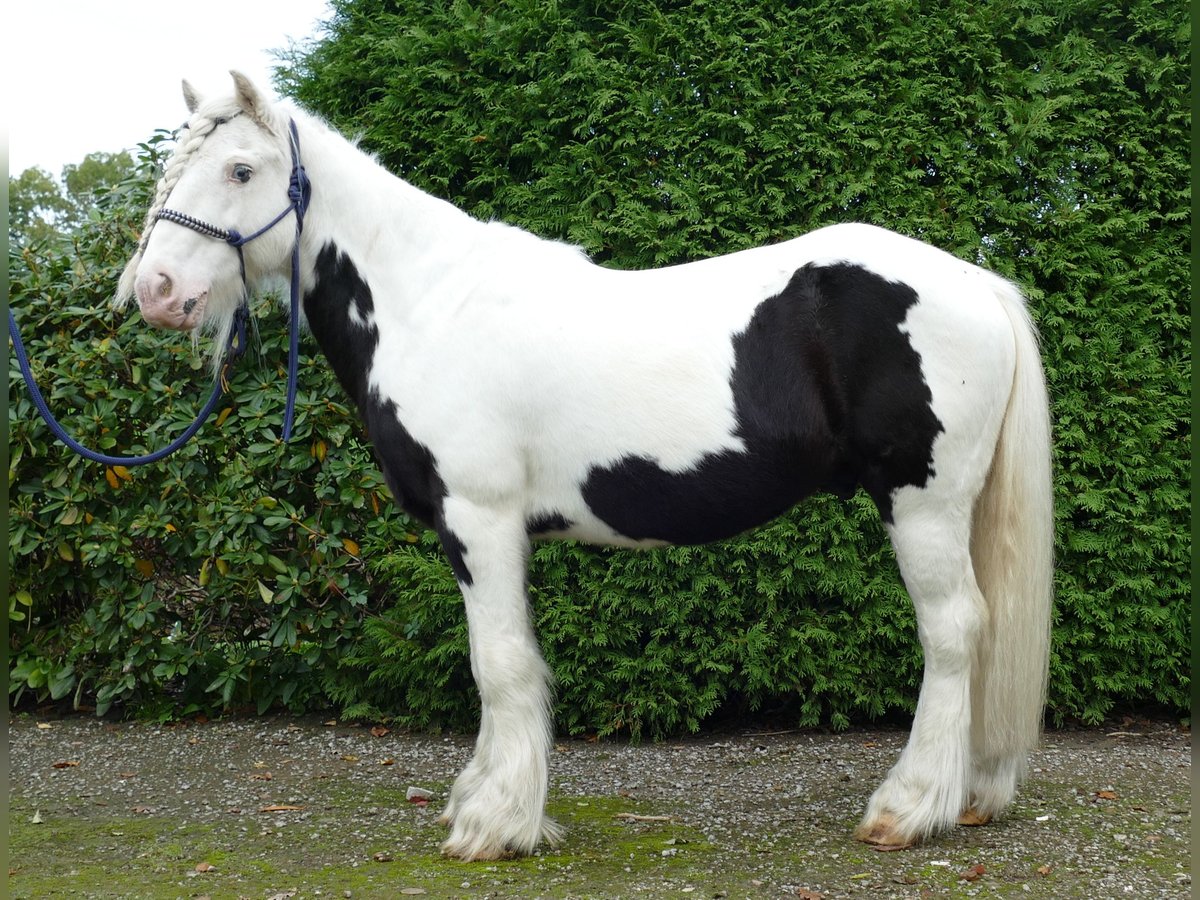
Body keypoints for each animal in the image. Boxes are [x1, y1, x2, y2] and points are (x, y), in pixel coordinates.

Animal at [114, 74, 1051, 864]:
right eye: (173, 168)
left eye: (241, 169)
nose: (154, 291)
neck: (430, 304)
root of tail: (978, 284)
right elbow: (497, 659)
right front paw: (479, 799)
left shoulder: (479, 518)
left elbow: (499, 663)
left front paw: (495, 826)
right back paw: (972, 793)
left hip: (921, 501)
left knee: (954, 629)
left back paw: (909, 807)